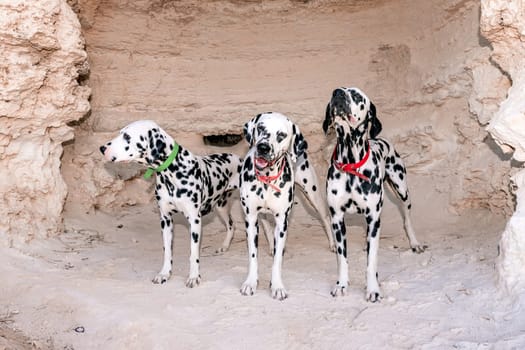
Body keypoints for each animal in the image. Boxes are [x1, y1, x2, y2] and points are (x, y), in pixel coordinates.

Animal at [99, 120, 242, 288]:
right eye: (120, 133)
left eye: (127, 136)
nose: (102, 148)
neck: (173, 171)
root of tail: (239, 158)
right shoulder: (165, 220)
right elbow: (167, 251)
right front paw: (164, 274)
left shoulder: (195, 222)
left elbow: (193, 254)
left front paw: (194, 276)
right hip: (221, 207)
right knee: (231, 225)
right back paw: (224, 246)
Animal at [238, 112, 332, 300]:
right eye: (261, 128)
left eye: (281, 135)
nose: (263, 147)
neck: (266, 179)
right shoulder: (250, 220)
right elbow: (253, 256)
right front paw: (250, 282)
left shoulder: (282, 222)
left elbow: (277, 261)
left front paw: (277, 286)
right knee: (266, 224)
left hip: (313, 194)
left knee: (325, 217)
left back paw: (333, 244)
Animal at [324, 88, 426, 304]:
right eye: (335, 92)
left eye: (356, 95)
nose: (337, 93)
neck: (351, 164)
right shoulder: (337, 220)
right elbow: (342, 259)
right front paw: (341, 285)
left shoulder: (373, 217)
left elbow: (371, 262)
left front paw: (373, 289)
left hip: (402, 189)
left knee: (407, 219)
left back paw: (415, 243)